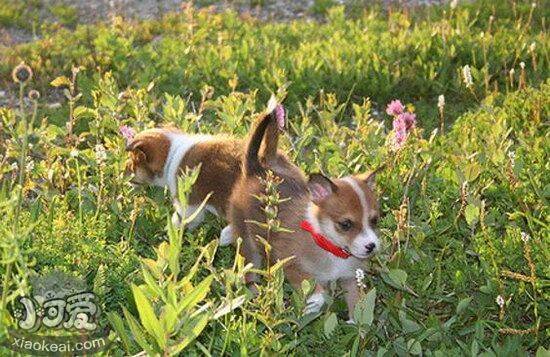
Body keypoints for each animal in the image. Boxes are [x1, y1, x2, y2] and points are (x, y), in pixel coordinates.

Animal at [125, 98, 298, 241]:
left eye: (133, 161)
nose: (123, 173)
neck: (171, 155)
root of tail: (268, 159)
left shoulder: (189, 205)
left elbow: (180, 220)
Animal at [227, 110, 380, 320]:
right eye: (345, 224)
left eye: (374, 220)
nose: (371, 246)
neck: (329, 247)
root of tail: (256, 169)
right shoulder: (291, 265)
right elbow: (316, 291)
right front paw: (313, 304)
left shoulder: (350, 278)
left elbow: (357, 303)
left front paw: (356, 323)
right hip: (248, 245)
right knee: (250, 269)